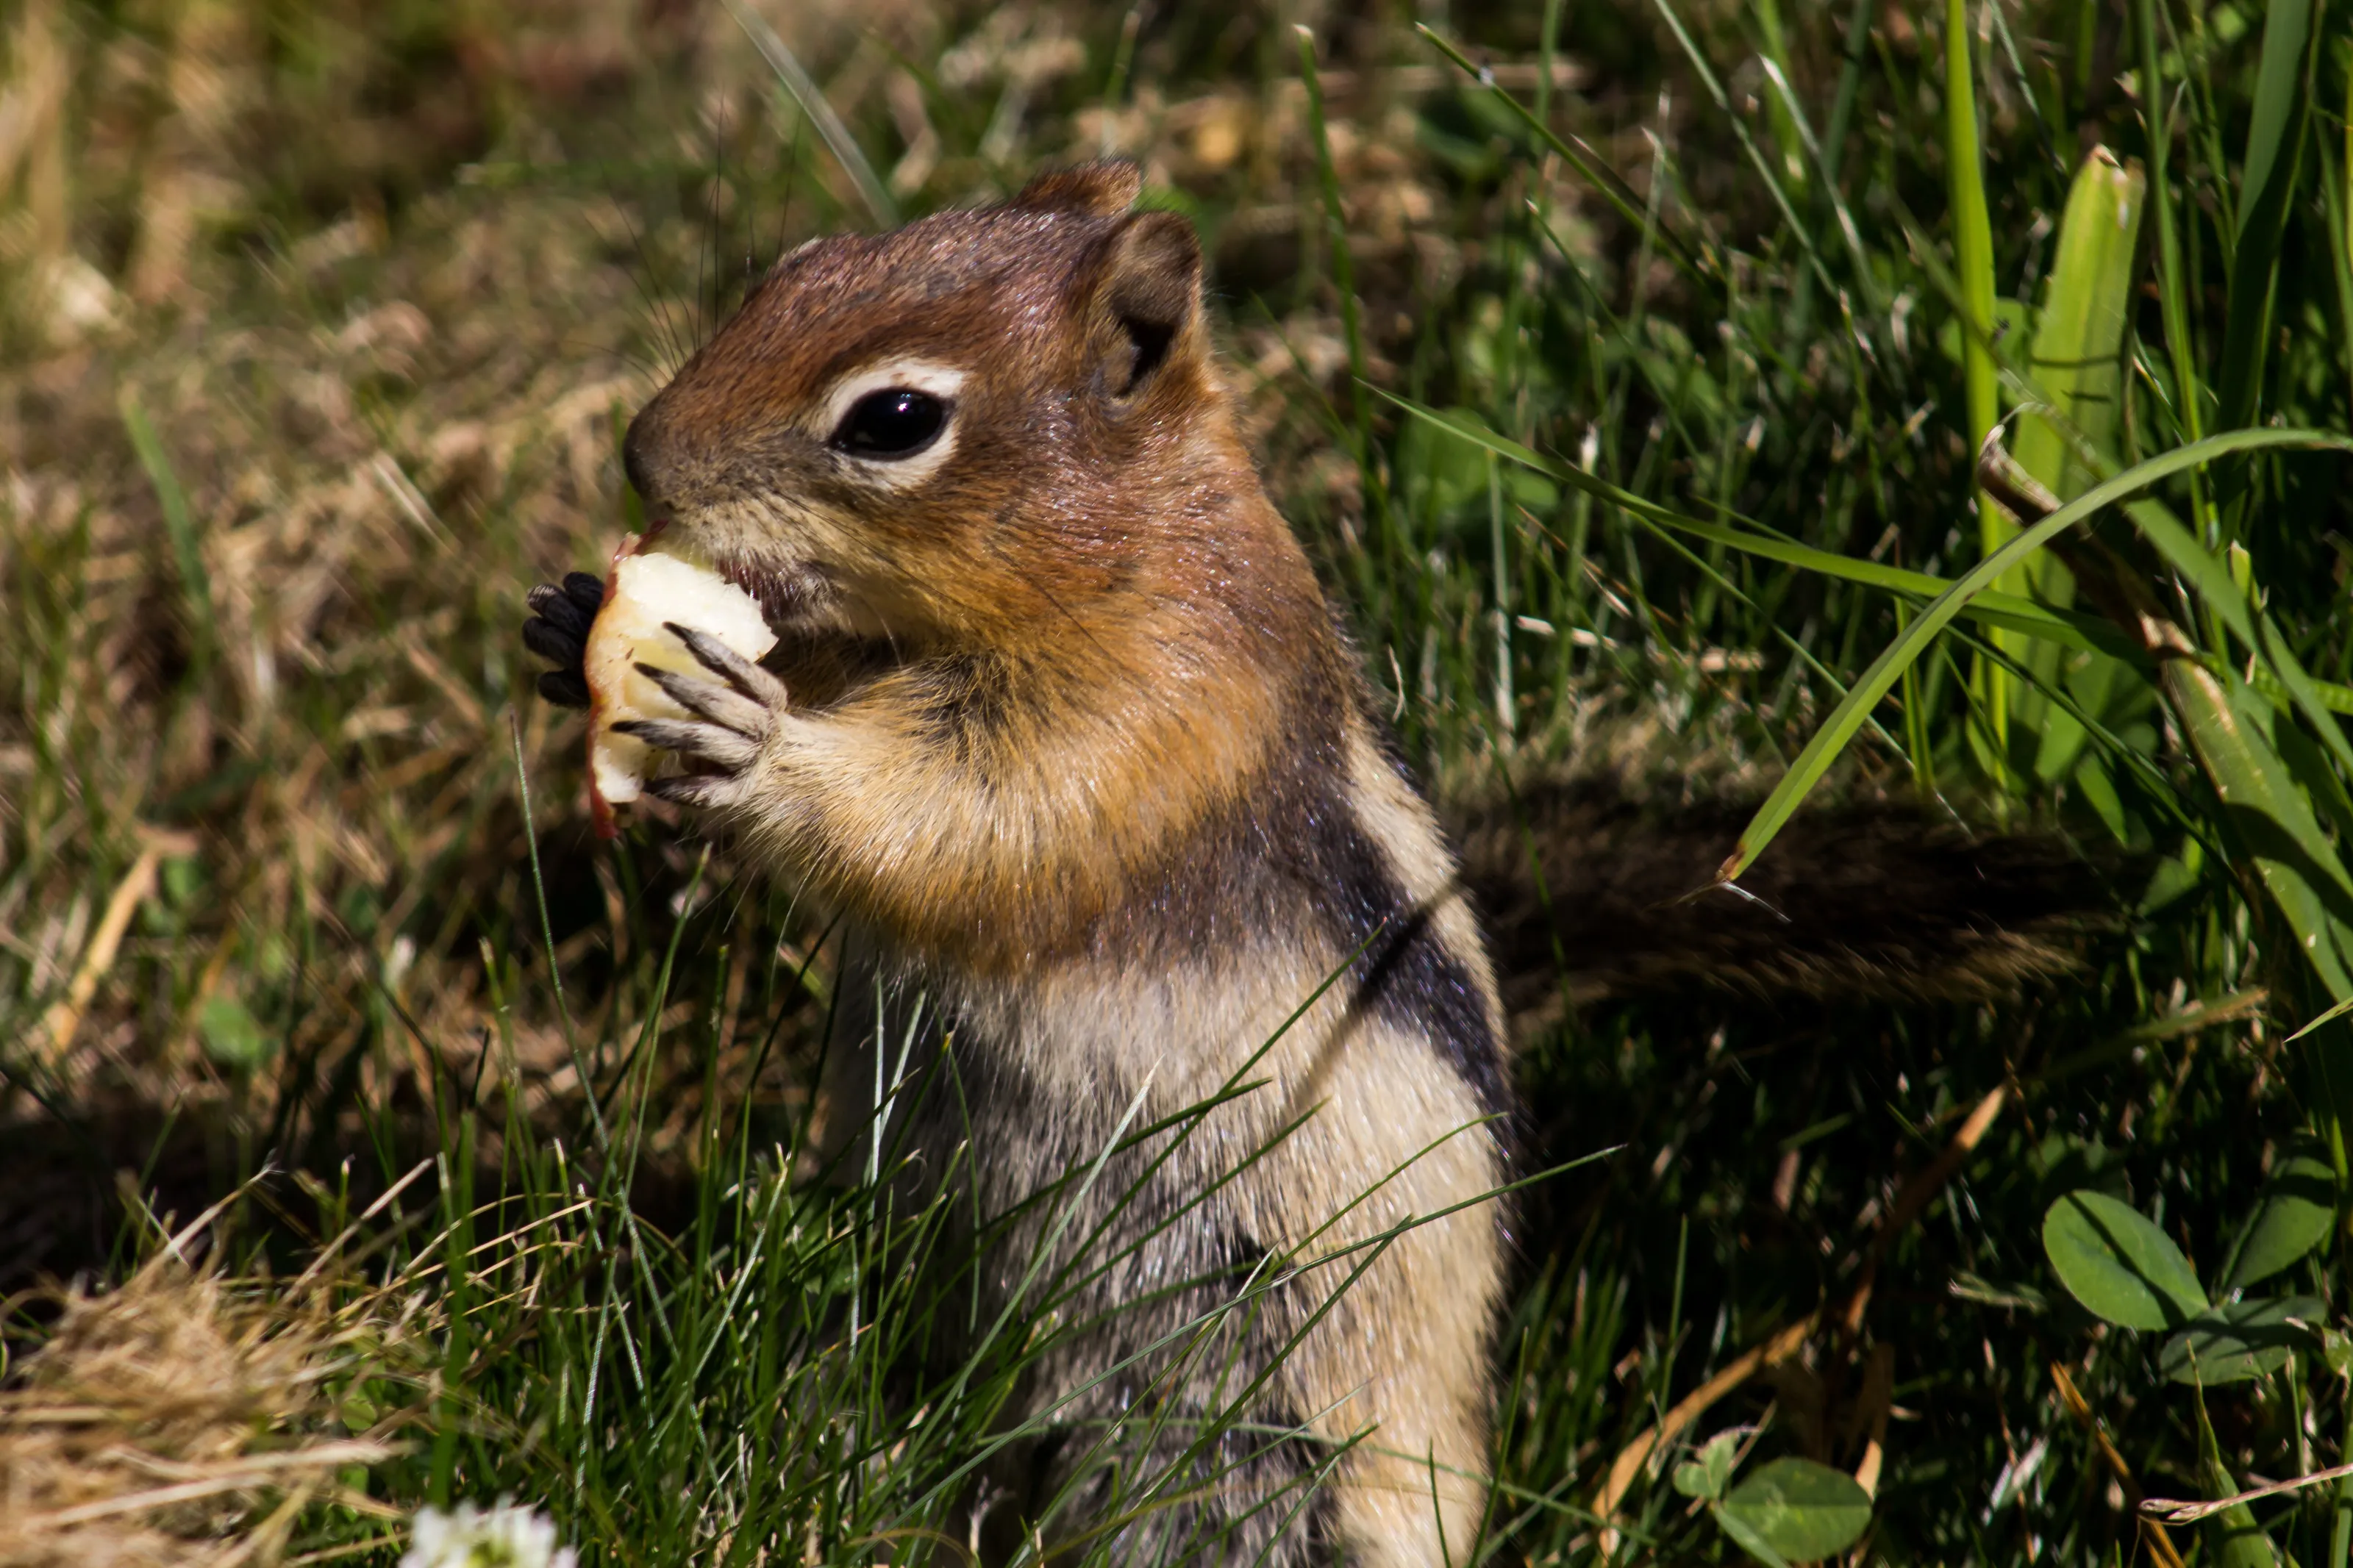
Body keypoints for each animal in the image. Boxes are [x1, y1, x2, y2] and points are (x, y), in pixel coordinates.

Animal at [522, 160, 2103, 1563]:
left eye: (894, 418)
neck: (1130, 548)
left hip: (1303, 1445)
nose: (640, 455)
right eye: (794, 266)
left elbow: (973, 820)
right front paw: (569, 623)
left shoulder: (1162, 710)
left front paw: (754, 739)